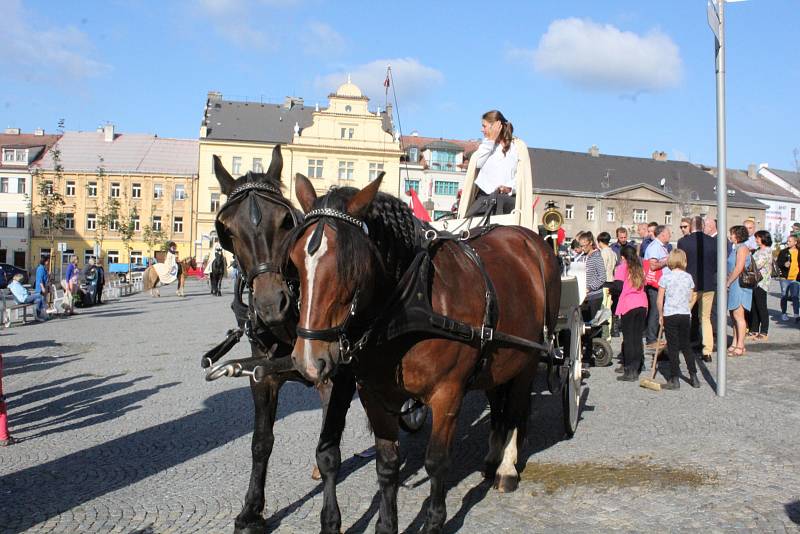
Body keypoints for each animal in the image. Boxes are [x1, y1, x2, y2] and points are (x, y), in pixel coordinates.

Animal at [284, 176, 560, 534]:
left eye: (349, 264)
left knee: (515, 409)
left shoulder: (447, 394)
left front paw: (434, 520)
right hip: (498, 362)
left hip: (528, 358)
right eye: (294, 261)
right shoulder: (375, 396)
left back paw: (507, 468)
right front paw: (387, 525)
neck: (411, 304)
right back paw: (491, 459)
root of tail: (529, 239)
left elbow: (437, 462)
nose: (307, 359)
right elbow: (387, 465)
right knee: (499, 406)